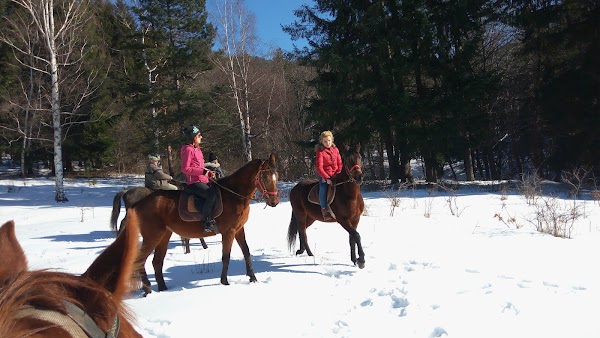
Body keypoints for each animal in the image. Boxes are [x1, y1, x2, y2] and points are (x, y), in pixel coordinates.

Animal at [126, 154, 282, 294]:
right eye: (266, 178)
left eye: (277, 176)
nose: (274, 202)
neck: (233, 195)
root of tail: (138, 204)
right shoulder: (229, 231)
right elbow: (226, 256)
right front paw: (224, 282)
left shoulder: (239, 229)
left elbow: (246, 252)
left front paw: (253, 278)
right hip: (152, 236)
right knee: (140, 261)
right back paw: (147, 289)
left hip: (164, 236)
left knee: (157, 262)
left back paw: (163, 288)